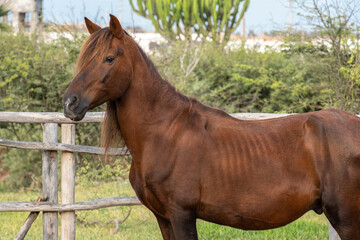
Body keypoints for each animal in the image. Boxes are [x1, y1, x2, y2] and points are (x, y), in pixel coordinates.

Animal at [63, 14, 360, 238]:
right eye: (83, 58)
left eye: (109, 58)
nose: (69, 103)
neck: (163, 133)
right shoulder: (163, 218)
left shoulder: (182, 215)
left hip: (346, 218)